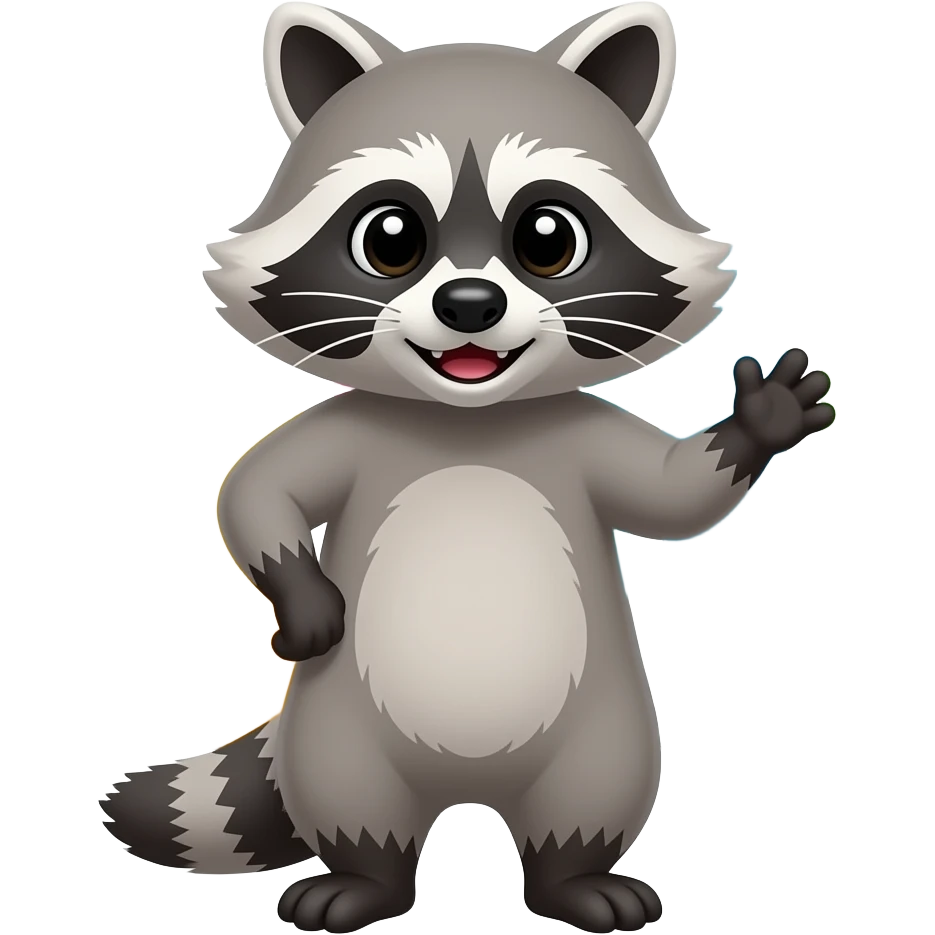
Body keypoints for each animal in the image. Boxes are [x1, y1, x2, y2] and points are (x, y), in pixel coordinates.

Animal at [100, 3, 836, 933]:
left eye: (547, 237)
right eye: (391, 237)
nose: (470, 306)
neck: (469, 420)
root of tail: (468, 784)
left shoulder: (575, 431)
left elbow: (673, 496)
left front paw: (756, 425)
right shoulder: (356, 425)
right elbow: (254, 490)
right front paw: (300, 593)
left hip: (602, 720)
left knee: (594, 789)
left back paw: (574, 876)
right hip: (340, 724)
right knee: (350, 794)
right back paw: (365, 877)